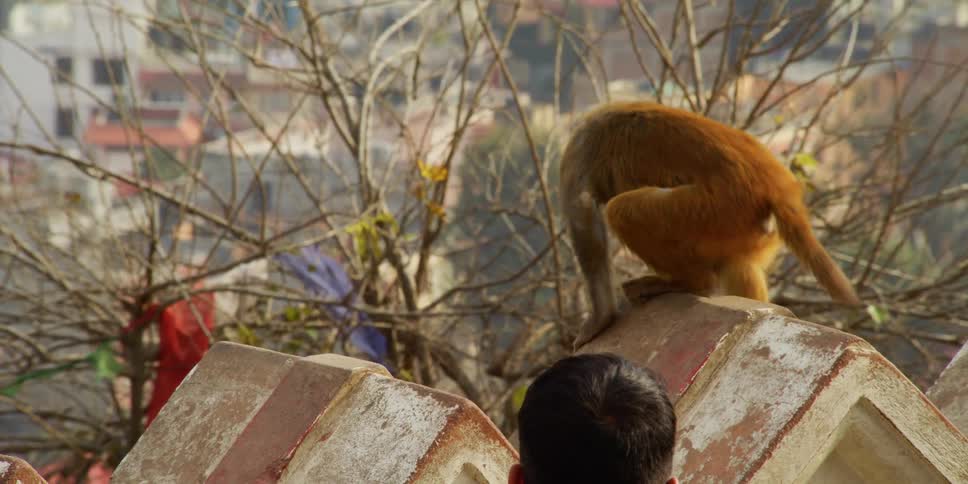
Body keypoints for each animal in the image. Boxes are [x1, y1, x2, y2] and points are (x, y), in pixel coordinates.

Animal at [560, 100, 861, 347]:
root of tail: (778, 187)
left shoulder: (581, 143)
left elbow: (582, 212)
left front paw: (601, 317)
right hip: (744, 226)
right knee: (739, 264)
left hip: (711, 208)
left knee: (622, 210)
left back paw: (692, 283)